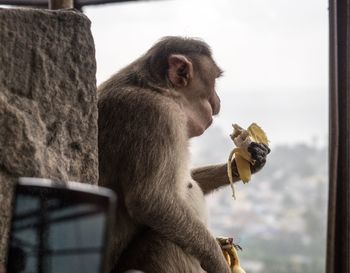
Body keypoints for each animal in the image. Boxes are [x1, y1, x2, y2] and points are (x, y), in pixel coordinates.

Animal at [98, 36, 270, 272]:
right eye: (213, 82)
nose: (218, 102)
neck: (159, 90)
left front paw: (244, 163)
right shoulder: (156, 115)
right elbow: (151, 202)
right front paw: (218, 261)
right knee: (163, 242)